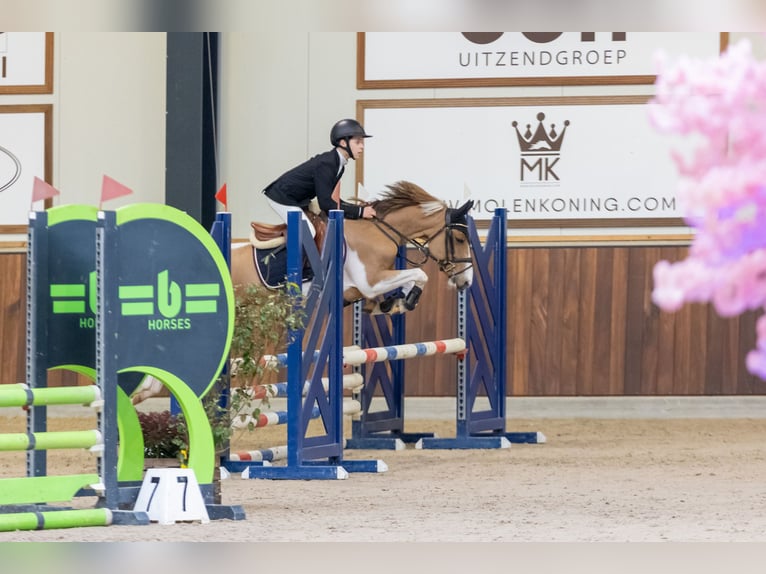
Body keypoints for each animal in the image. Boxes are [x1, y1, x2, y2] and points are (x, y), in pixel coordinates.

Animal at [231, 180, 475, 315]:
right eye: (460, 239)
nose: (467, 282)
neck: (377, 232)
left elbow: (410, 278)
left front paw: (396, 302)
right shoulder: (371, 282)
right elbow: (420, 273)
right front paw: (409, 299)